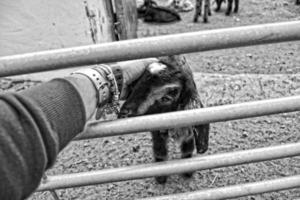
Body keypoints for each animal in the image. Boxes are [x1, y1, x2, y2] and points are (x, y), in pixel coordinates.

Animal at [118, 55, 210, 184]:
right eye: (136, 84)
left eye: (167, 98)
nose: (123, 113)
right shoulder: (156, 128)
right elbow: (160, 150)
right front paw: (161, 176)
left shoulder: (188, 127)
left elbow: (188, 148)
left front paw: (188, 171)